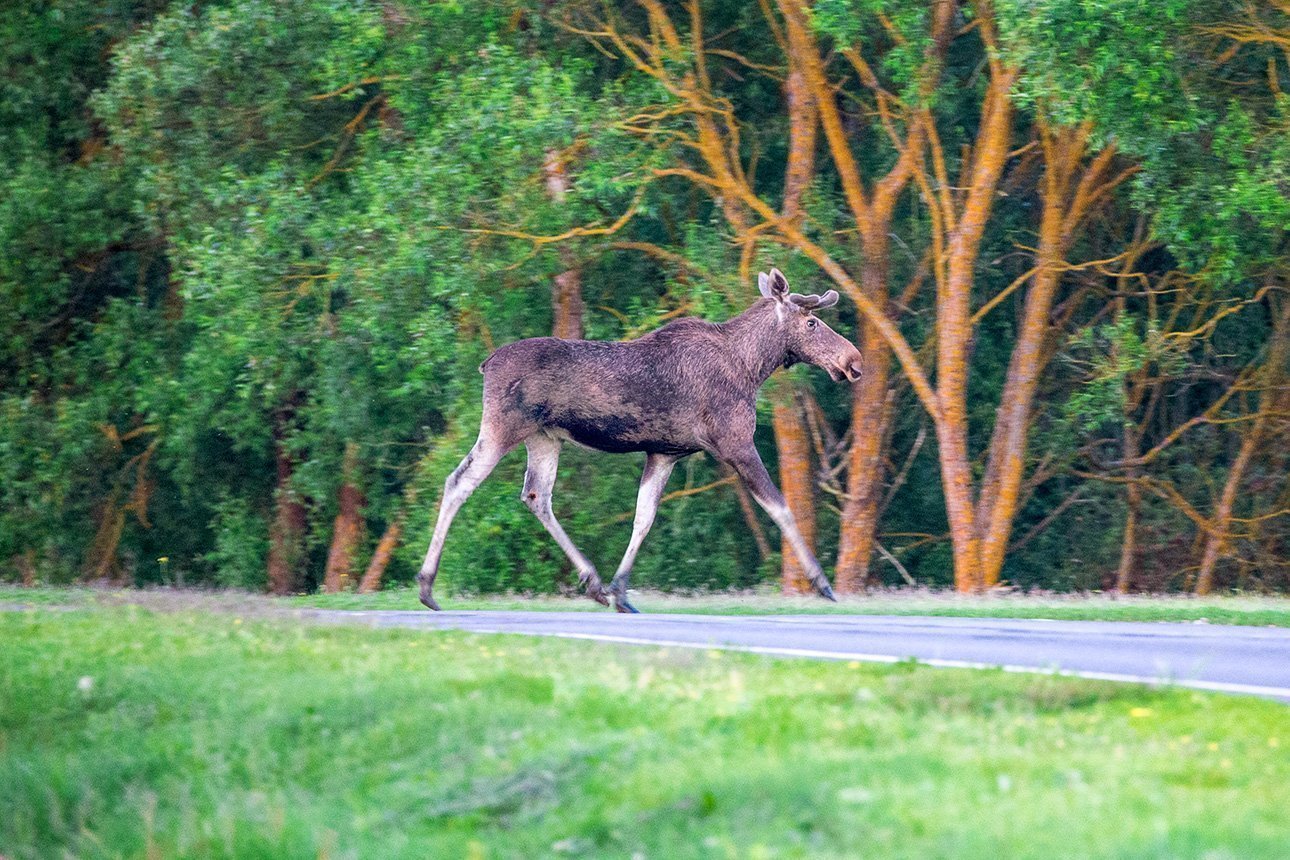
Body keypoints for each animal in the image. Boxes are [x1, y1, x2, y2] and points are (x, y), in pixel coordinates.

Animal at [420, 266, 866, 611]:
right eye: (812, 323)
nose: (854, 361)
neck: (753, 366)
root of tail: (486, 363)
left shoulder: (665, 452)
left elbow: (643, 517)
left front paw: (620, 591)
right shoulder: (736, 442)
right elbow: (780, 508)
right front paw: (823, 584)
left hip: (544, 437)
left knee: (536, 496)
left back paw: (594, 583)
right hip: (503, 426)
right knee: (459, 481)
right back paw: (426, 587)